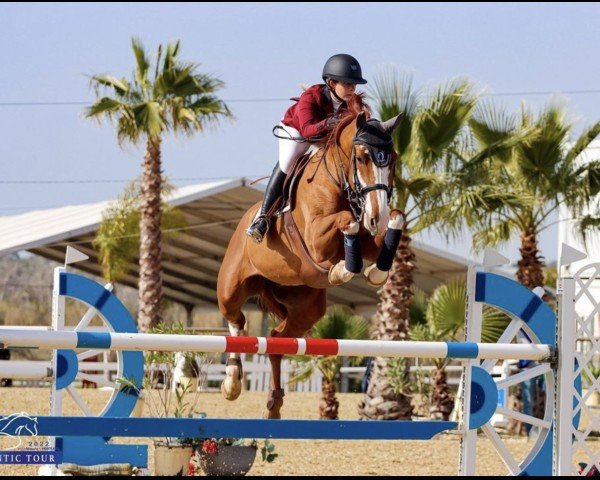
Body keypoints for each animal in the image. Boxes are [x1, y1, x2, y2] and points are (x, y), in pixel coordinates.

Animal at [216, 95, 404, 418]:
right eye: (362, 157)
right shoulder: (317, 238)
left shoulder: (368, 238)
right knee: (236, 322)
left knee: (278, 340)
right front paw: (343, 269)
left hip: (306, 307)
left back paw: (274, 405)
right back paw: (231, 382)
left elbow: (390, 227)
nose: (375, 217)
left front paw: (375, 270)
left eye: (391, 158)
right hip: (231, 287)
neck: (340, 181)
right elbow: (346, 222)